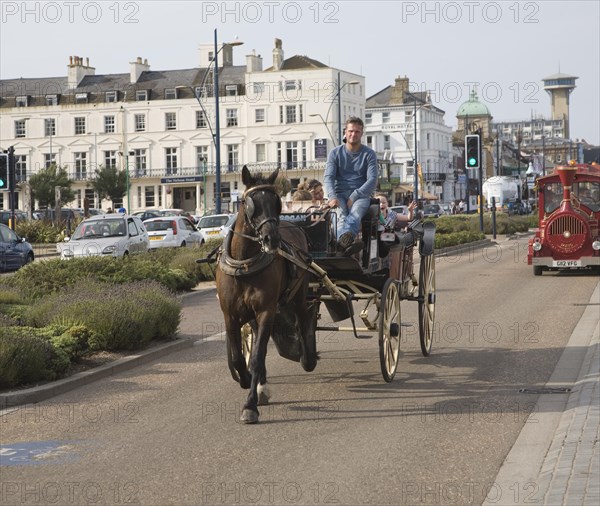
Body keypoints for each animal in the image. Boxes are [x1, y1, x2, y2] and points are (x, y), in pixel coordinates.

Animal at [216, 166, 318, 422]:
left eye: (276, 202)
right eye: (250, 203)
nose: (272, 238)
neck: (244, 264)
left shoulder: (266, 311)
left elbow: (257, 355)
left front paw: (250, 404)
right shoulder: (230, 315)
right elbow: (238, 357)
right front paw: (245, 380)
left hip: (298, 295)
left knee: (303, 321)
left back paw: (307, 357)